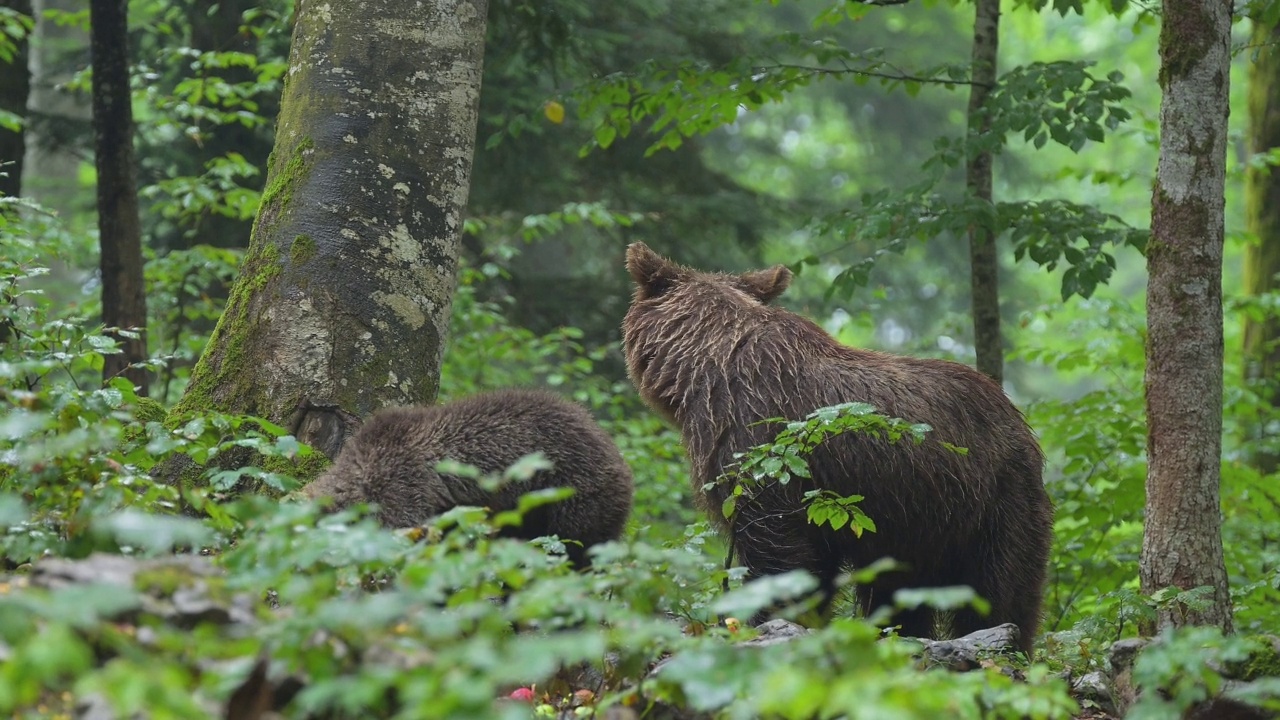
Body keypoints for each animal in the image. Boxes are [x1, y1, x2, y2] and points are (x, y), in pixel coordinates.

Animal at [619, 242, 1049, 650]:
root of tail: (1017, 419)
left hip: (993, 501)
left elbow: (776, 556)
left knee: (998, 588)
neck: (704, 373)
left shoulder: (760, 450)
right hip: (920, 519)